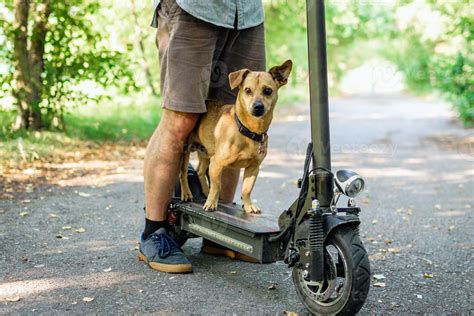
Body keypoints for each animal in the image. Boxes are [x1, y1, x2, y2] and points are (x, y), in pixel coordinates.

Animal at [180, 59, 292, 214]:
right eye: (247, 90)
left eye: (268, 91)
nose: (258, 106)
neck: (248, 131)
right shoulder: (217, 163)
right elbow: (217, 186)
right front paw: (212, 203)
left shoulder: (253, 168)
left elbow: (246, 190)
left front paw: (248, 206)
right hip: (186, 151)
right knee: (183, 173)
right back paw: (187, 193)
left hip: (206, 153)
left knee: (200, 171)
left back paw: (205, 191)